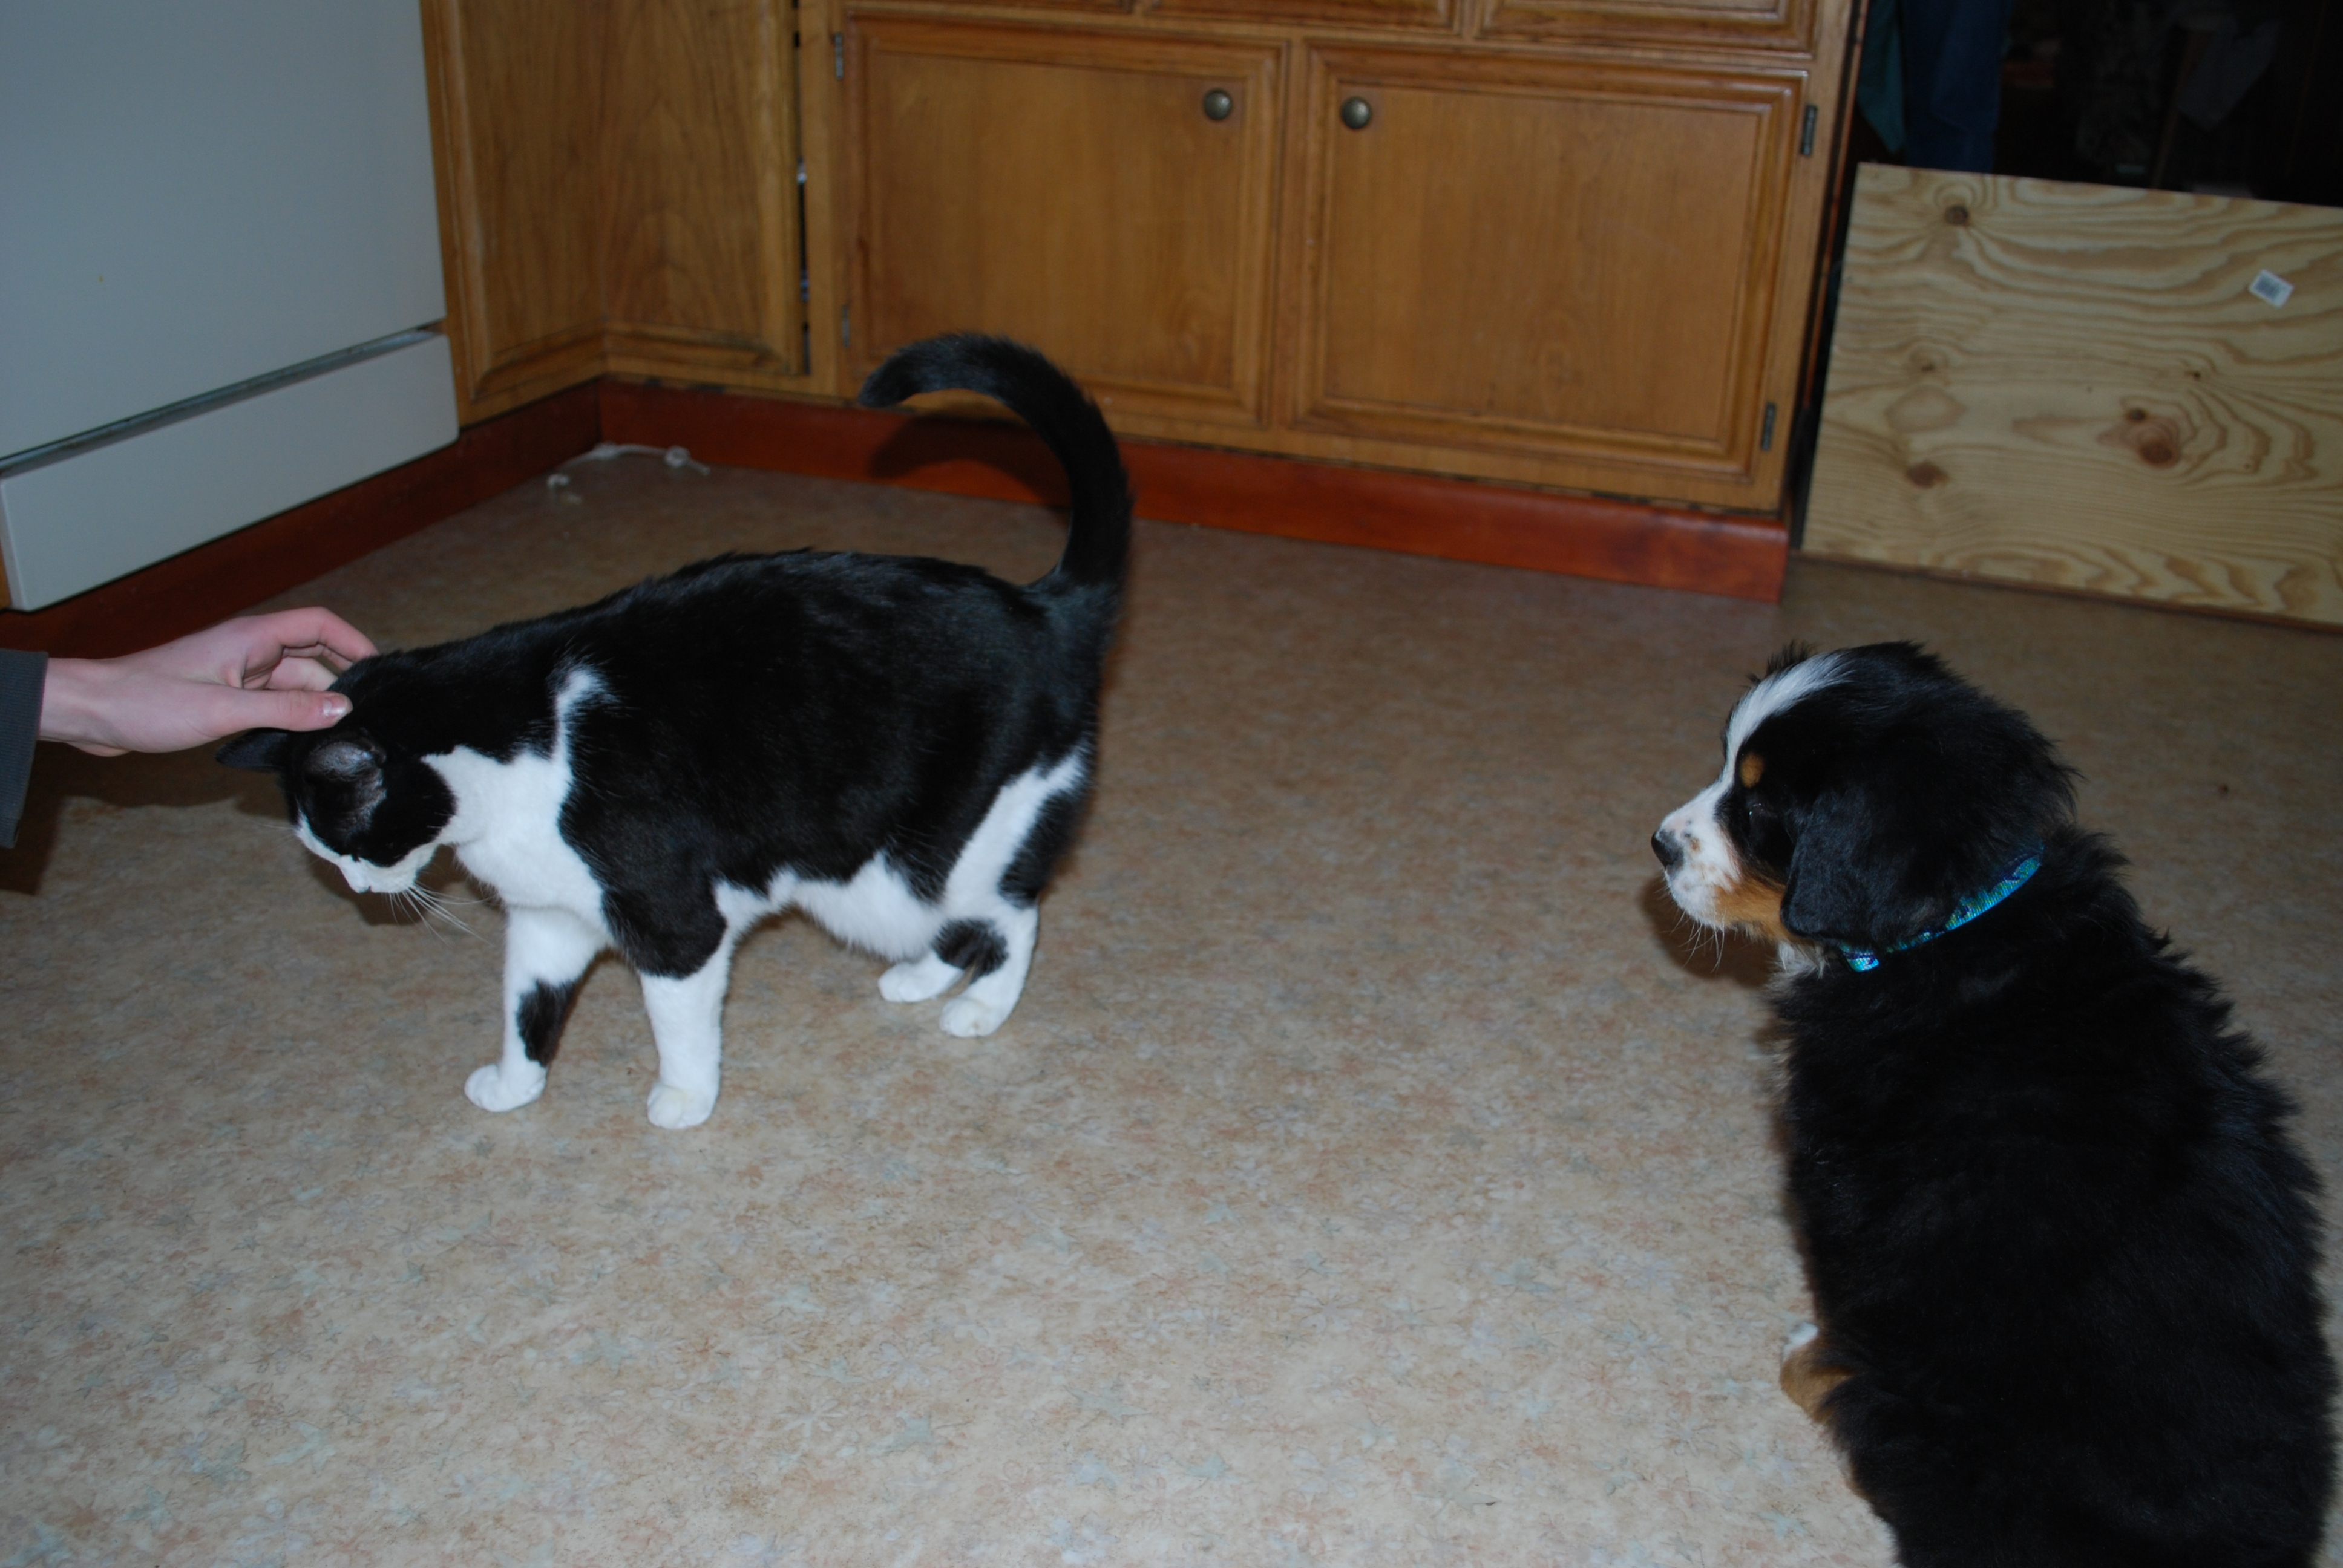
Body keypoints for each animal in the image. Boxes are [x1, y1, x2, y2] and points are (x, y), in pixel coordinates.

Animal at [219, 334, 1130, 1130]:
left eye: (351, 843)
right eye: (327, 853)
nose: (358, 889)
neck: (515, 763)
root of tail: (1045, 608)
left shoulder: (672, 919)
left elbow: (677, 1017)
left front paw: (685, 1099)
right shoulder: (547, 918)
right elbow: (525, 1007)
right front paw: (514, 1086)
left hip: (920, 860)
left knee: (1012, 913)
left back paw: (979, 1009)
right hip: (870, 879)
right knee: (970, 922)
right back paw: (919, 979)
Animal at [1653, 642, 2335, 1566]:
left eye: (1760, 807)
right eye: (1727, 763)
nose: (1659, 845)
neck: (1948, 929)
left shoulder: (1848, 1194)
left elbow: (1842, 1312)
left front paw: (1810, 1359)